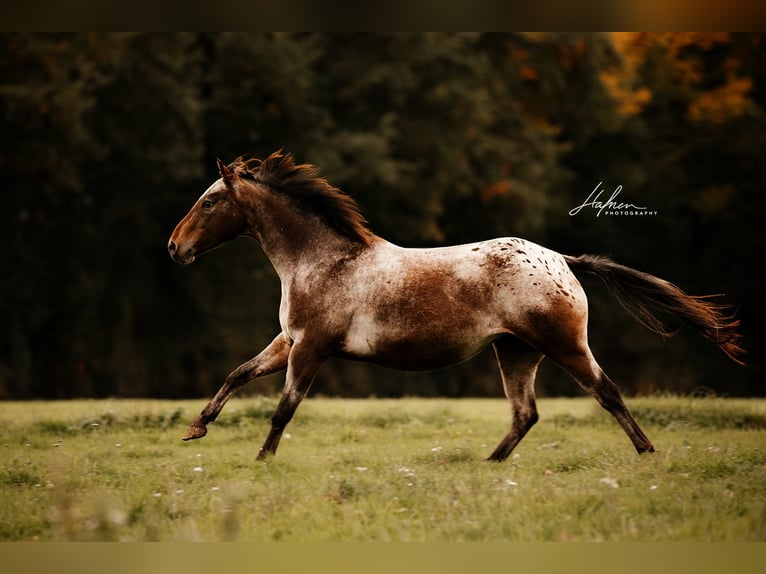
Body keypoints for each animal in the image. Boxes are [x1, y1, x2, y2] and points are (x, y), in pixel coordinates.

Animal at [168, 151, 744, 461]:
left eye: (210, 201)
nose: (174, 247)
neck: (323, 261)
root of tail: (561, 259)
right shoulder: (288, 342)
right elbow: (238, 374)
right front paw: (196, 428)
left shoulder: (310, 348)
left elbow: (284, 407)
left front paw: (261, 459)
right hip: (516, 353)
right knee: (525, 414)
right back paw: (487, 464)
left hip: (565, 346)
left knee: (607, 392)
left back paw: (646, 451)